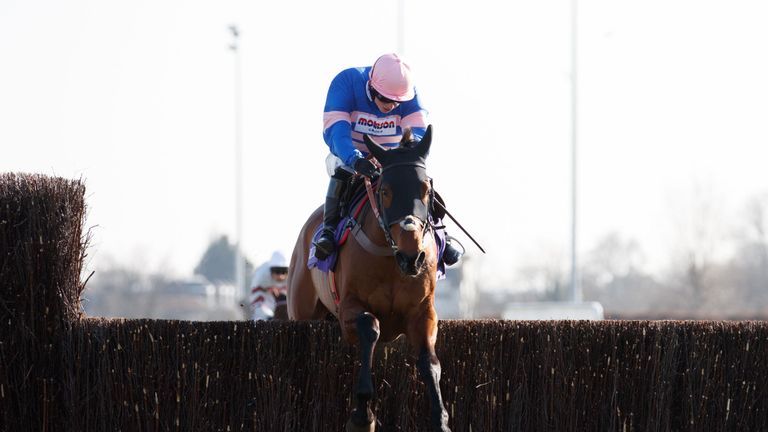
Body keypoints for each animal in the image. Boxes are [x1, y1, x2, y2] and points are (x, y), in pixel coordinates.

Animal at [292, 125, 452, 432]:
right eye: (385, 191)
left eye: (427, 190)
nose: (412, 257)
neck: (391, 258)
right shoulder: (348, 307)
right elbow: (370, 327)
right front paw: (362, 414)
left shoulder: (423, 311)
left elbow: (430, 361)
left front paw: (441, 419)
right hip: (302, 311)